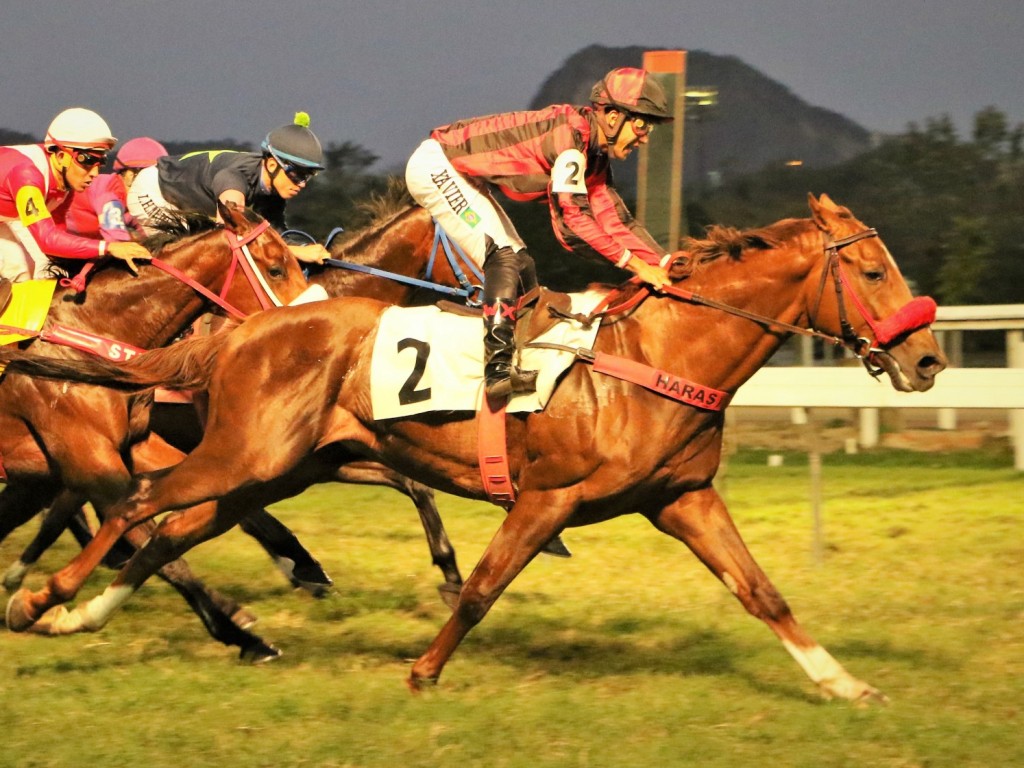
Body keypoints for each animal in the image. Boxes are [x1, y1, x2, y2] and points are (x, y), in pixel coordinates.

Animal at [0, 195, 946, 700]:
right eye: (871, 273)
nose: (928, 358)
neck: (657, 354)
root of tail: (242, 331)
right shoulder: (549, 497)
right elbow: (485, 587)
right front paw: (423, 672)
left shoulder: (683, 499)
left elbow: (763, 592)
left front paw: (843, 683)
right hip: (242, 458)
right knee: (135, 504)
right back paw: (39, 599)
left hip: (275, 471)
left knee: (169, 533)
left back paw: (99, 616)